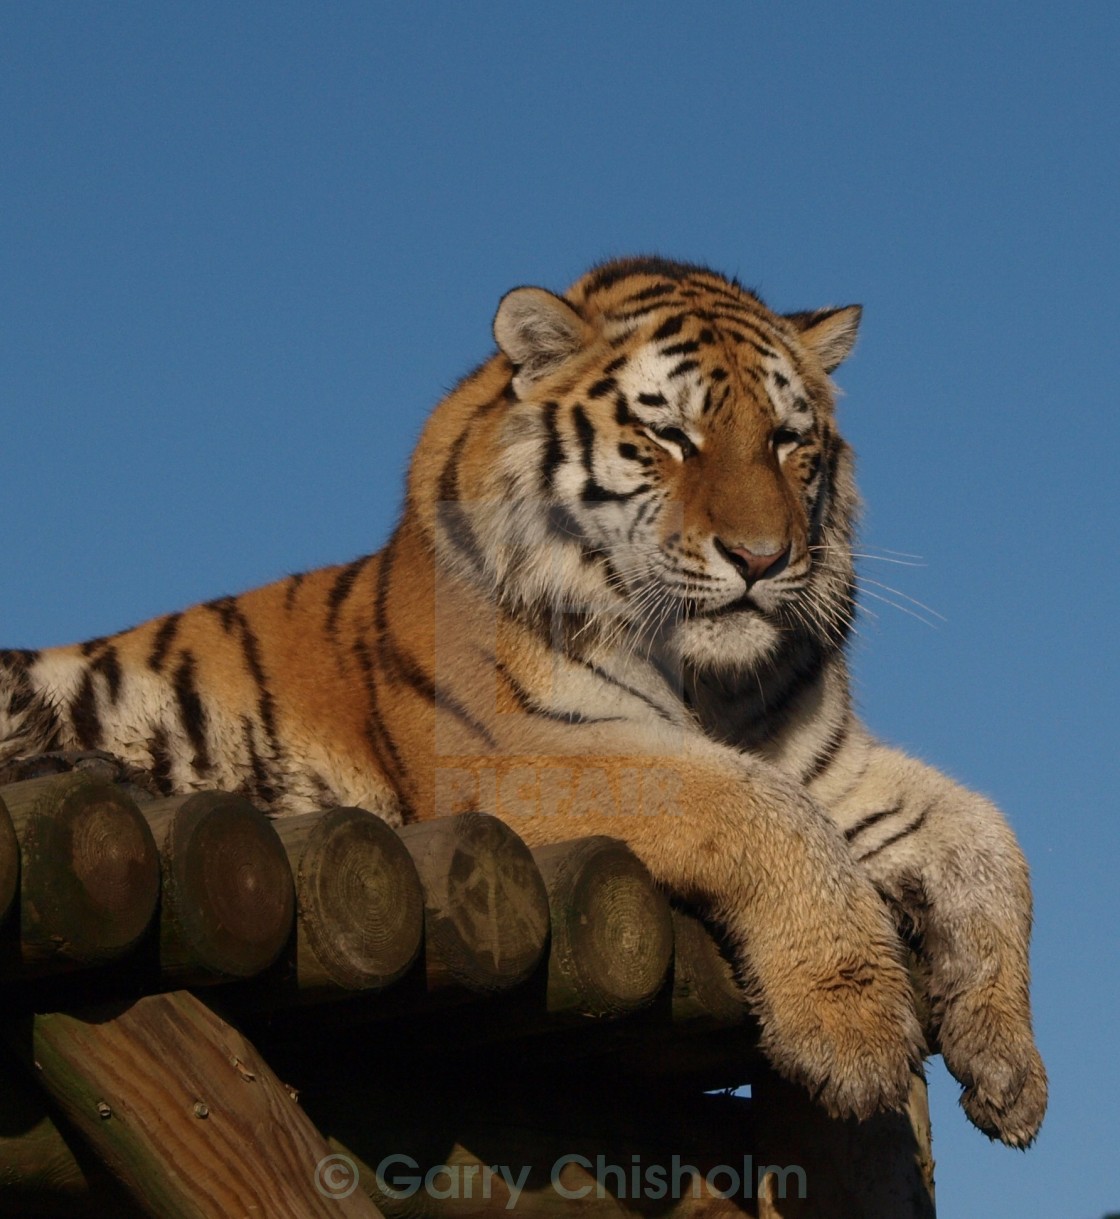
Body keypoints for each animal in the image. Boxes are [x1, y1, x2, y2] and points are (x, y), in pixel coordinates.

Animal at [0, 252, 1048, 1145]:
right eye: (671, 436)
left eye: (791, 444)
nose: (761, 559)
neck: (711, 681)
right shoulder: (516, 757)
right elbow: (759, 806)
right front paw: (854, 1025)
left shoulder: (830, 762)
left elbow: (988, 835)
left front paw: (1007, 1061)